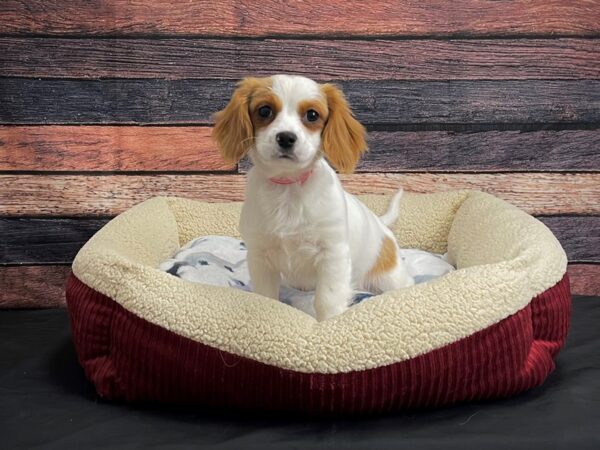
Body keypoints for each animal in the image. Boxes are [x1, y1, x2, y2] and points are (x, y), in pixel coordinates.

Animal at [213, 74, 414, 320]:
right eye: (264, 111)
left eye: (312, 115)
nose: (286, 138)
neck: (288, 188)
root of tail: (381, 223)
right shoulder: (260, 257)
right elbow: (266, 296)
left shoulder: (333, 255)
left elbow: (327, 299)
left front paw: (329, 324)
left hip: (388, 276)